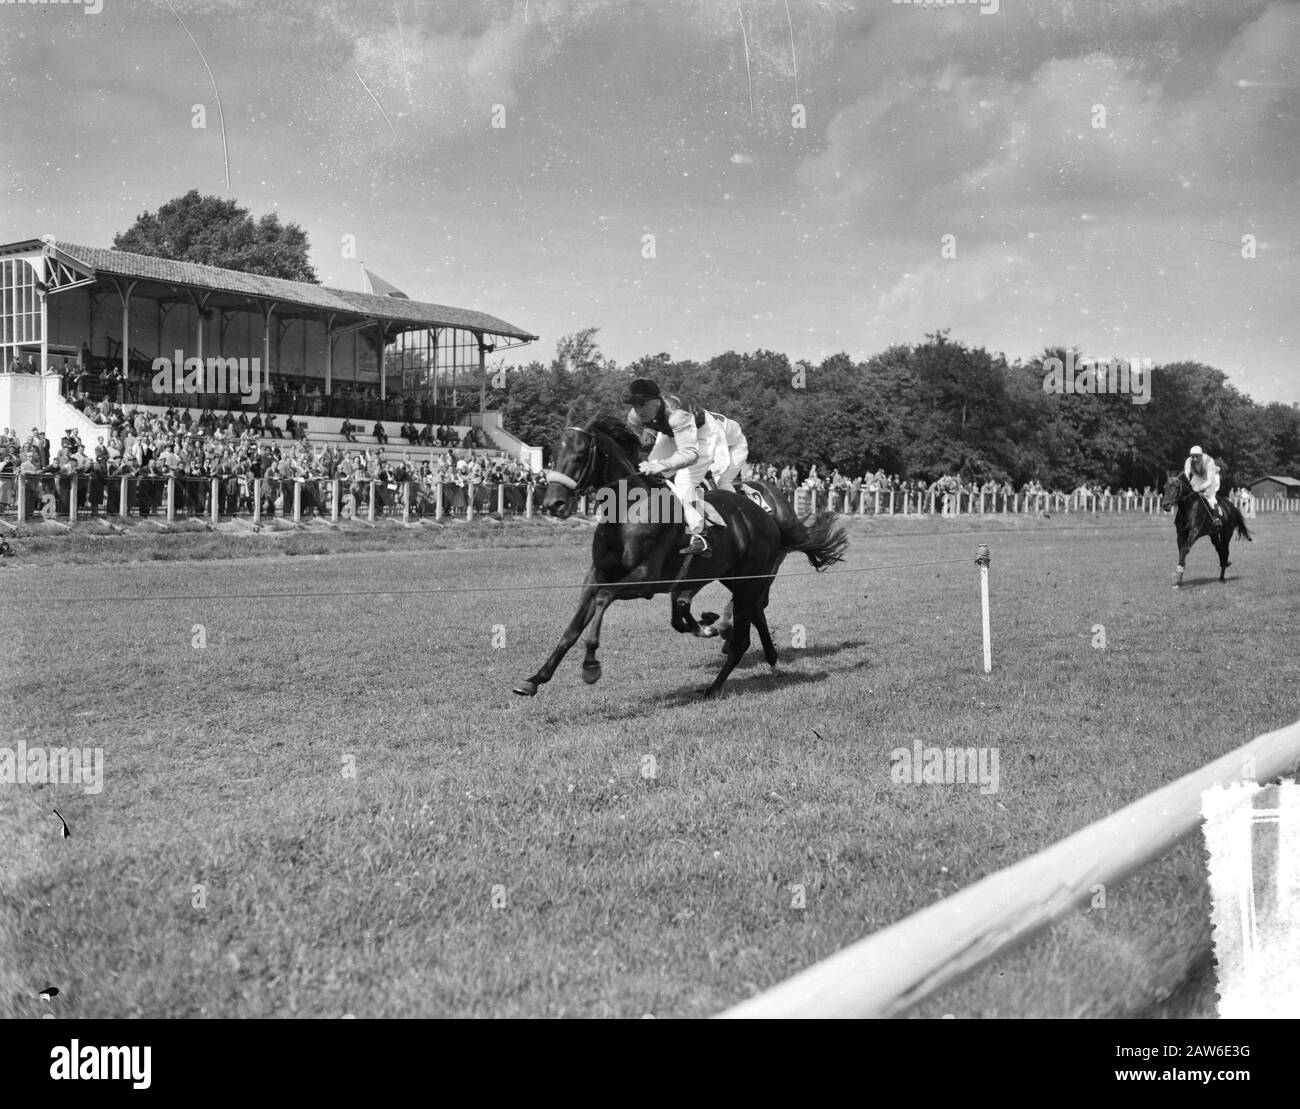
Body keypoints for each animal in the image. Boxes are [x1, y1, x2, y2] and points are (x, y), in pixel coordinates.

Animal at [512, 418, 847, 696]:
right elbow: (572, 628)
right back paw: (743, 647)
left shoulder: (646, 581)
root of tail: (768, 516)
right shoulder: (597, 575)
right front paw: (535, 679)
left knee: (745, 631)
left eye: (581, 455)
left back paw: (714, 683)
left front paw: (591, 664)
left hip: (749, 579)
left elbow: (604, 599)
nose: (553, 503)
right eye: (553, 454)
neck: (628, 511)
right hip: (733, 578)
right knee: (751, 613)